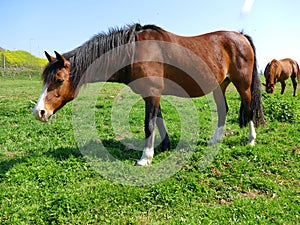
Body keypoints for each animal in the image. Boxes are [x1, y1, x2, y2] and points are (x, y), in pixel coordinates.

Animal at [32, 23, 264, 165]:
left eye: (59, 80)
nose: (39, 112)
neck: (134, 51)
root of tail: (241, 36)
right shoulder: (152, 94)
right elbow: (158, 120)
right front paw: (165, 145)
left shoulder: (152, 93)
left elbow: (149, 124)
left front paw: (145, 157)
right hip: (219, 85)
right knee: (223, 110)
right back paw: (215, 140)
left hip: (242, 83)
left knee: (249, 106)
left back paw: (251, 140)